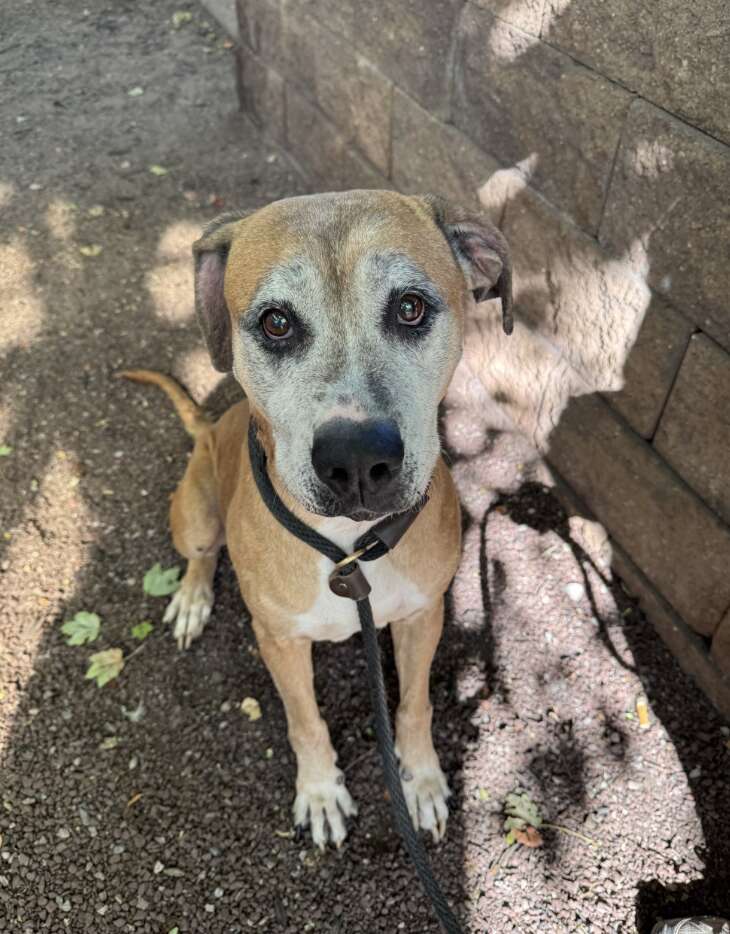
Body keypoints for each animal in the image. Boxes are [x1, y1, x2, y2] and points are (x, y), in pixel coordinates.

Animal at [119, 186, 510, 852]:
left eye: (411, 308)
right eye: (276, 322)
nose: (356, 460)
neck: (348, 551)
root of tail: (208, 426)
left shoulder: (422, 616)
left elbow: (415, 707)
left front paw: (422, 778)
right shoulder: (279, 640)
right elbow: (304, 720)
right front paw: (322, 791)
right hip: (194, 513)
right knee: (200, 554)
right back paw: (193, 599)